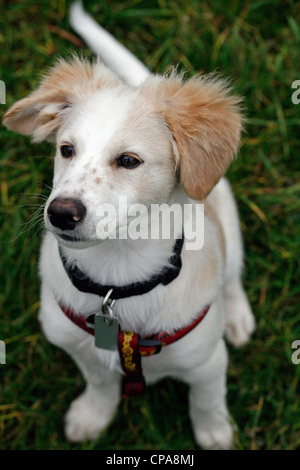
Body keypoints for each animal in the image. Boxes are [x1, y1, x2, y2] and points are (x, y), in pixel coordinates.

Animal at [2, 1, 255, 450]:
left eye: (129, 161)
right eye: (66, 150)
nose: (60, 213)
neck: (116, 278)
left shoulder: (207, 360)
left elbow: (206, 400)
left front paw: (215, 433)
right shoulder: (80, 349)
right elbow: (101, 384)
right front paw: (93, 416)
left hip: (227, 216)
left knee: (231, 277)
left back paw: (237, 317)